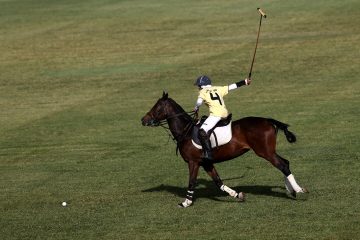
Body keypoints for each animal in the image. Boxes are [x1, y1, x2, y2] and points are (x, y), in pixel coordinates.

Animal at [141, 92, 306, 208]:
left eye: (157, 107)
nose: (143, 120)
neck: (185, 131)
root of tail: (269, 121)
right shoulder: (206, 163)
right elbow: (218, 182)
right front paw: (238, 195)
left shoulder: (193, 162)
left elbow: (192, 182)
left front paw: (186, 202)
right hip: (269, 152)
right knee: (285, 163)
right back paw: (291, 190)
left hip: (265, 152)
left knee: (282, 165)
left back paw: (298, 190)